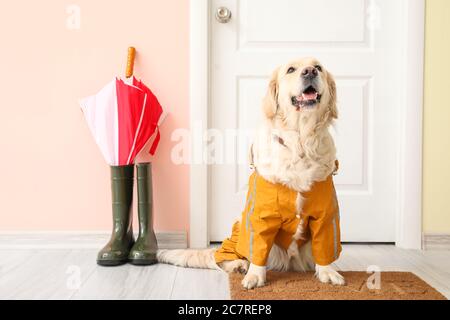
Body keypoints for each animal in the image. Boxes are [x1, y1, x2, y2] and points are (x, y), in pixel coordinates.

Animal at [158, 58, 344, 290]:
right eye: (291, 69)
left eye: (318, 67)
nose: (309, 71)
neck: (300, 143)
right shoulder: (260, 215)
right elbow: (258, 248)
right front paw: (255, 276)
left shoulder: (326, 214)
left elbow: (325, 244)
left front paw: (328, 272)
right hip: (238, 231)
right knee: (223, 258)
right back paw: (239, 265)